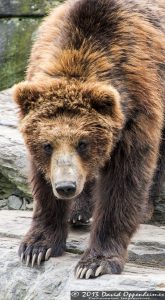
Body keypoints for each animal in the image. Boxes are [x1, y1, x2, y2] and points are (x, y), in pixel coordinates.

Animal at [13, 0, 165, 280]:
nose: (66, 187)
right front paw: (37, 247)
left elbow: (123, 183)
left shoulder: (136, 113)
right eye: (47, 145)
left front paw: (95, 263)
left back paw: (145, 207)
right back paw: (78, 211)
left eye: (83, 143)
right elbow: (42, 181)